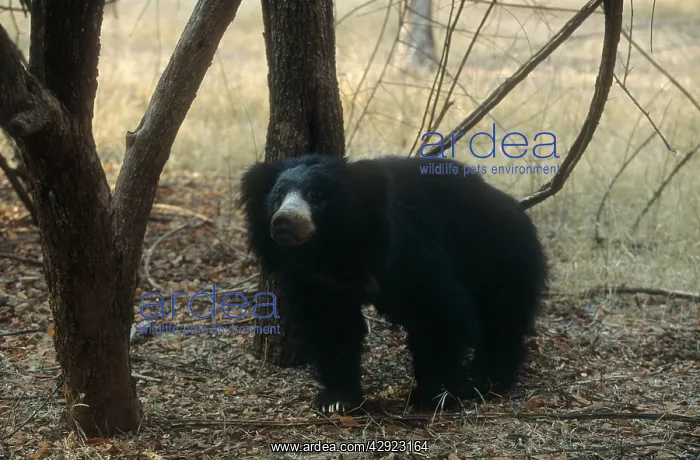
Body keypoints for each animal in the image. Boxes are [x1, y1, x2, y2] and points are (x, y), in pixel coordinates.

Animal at [238, 154, 548, 414]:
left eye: (316, 197)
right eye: (277, 197)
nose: (283, 222)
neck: (333, 250)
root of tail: (514, 205)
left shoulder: (403, 252)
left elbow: (438, 309)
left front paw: (438, 393)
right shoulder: (320, 281)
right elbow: (331, 325)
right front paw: (337, 400)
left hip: (500, 255)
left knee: (502, 315)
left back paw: (488, 378)